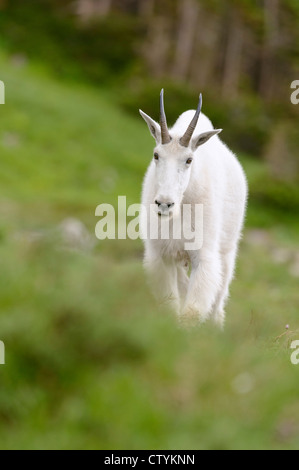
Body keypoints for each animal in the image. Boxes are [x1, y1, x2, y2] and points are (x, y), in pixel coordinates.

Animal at [141, 92, 248, 326]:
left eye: (189, 159)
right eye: (156, 155)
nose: (164, 203)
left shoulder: (204, 256)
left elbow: (192, 311)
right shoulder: (162, 254)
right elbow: (171, 304)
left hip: (227, 249)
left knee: (219, 299)